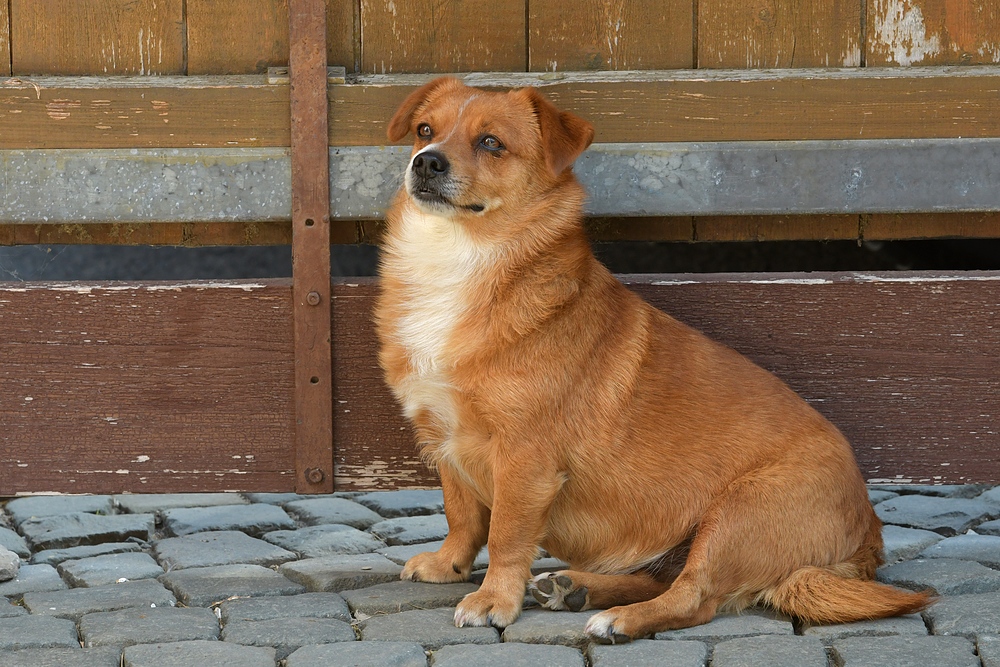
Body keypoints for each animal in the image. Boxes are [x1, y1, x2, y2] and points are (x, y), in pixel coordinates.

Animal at [374, 75, 928, 640]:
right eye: (425, 130)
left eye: (491, 143)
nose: (426, 162)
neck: (458, 259)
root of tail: (869, 536)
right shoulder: (443, 436)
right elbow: (461, 512)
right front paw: (448, 564)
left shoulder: (525, 461)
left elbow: (506, 533)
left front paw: (493, 598)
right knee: (660, 578)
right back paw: (577, 588)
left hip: (735, 517)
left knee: (693, 598)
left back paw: (617, 618)